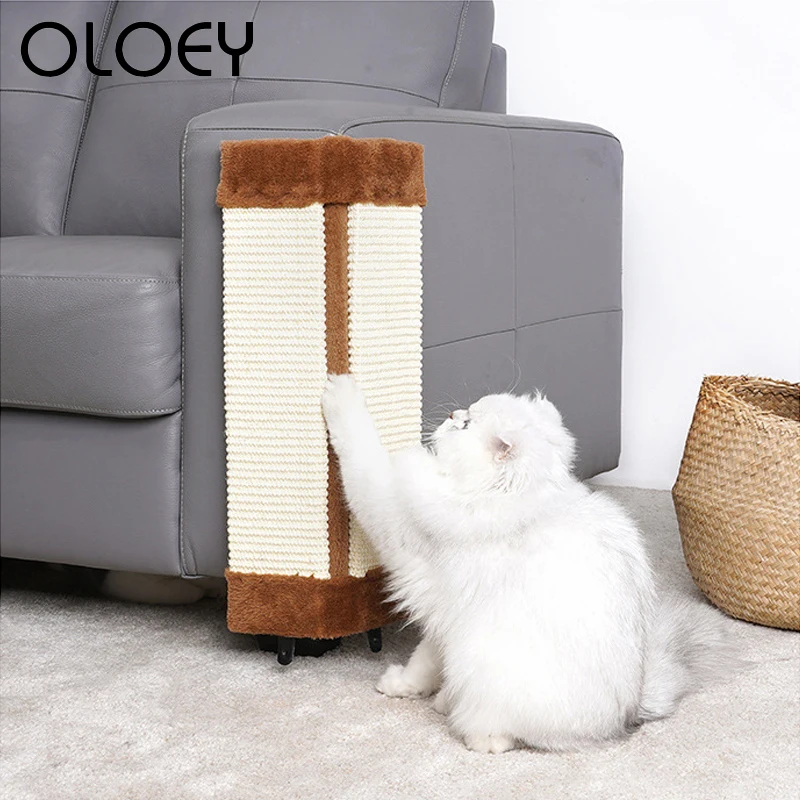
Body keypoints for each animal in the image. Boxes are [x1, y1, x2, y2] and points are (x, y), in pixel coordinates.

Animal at [321, 374, 742, 754]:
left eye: (466, 424)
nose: (453, 414)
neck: (505, 499)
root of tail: (629, 715)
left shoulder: (395, 520)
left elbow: (362, 456)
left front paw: (340, 390)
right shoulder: (444, 618)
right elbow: (423, 662)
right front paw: (403, 687)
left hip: (486, 666)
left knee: (500, 737)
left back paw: (465, 724)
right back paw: (443, 700)